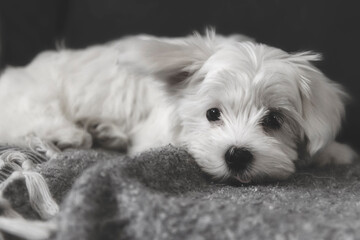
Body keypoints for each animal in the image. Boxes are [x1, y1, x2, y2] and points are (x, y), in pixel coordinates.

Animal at [0, 31, 356, 183]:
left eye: (274, 120)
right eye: (213, 114)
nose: (237, 155)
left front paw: (335, 152)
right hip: (38, 95)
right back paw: (71, 134)